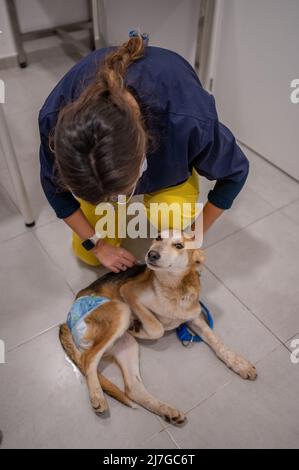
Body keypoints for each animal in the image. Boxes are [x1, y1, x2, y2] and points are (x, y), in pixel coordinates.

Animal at [60, 229, 258, 424]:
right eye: (157, 237)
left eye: (179, 245)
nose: (152, 254)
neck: (173, 288)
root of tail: (68, 317)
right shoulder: (129, 291)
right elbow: (157, 327)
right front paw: (140, 328)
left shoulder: (194, 318)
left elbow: (217, 342)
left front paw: (239, 363)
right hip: (121, 310)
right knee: (88, 359)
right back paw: (97, 396)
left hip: (127, 345)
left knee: (133, 389)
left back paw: (167, 410)